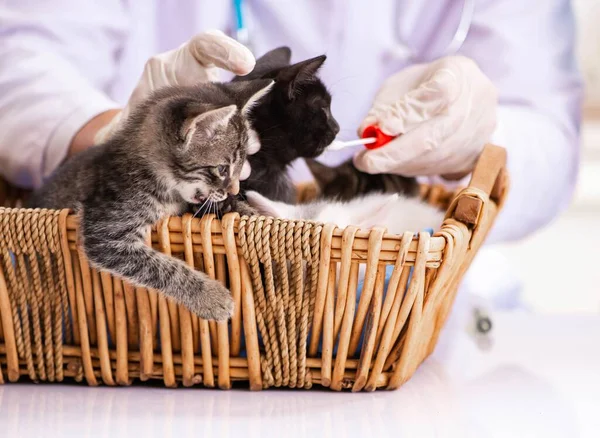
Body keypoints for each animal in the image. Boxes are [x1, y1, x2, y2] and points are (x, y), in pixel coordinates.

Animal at [27, 79, 272, 318]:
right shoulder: (105, 233)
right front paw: (211, 296)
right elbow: (161, 268)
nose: (234, 189)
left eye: (240, 166)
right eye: (222, 169)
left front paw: (244, 210)